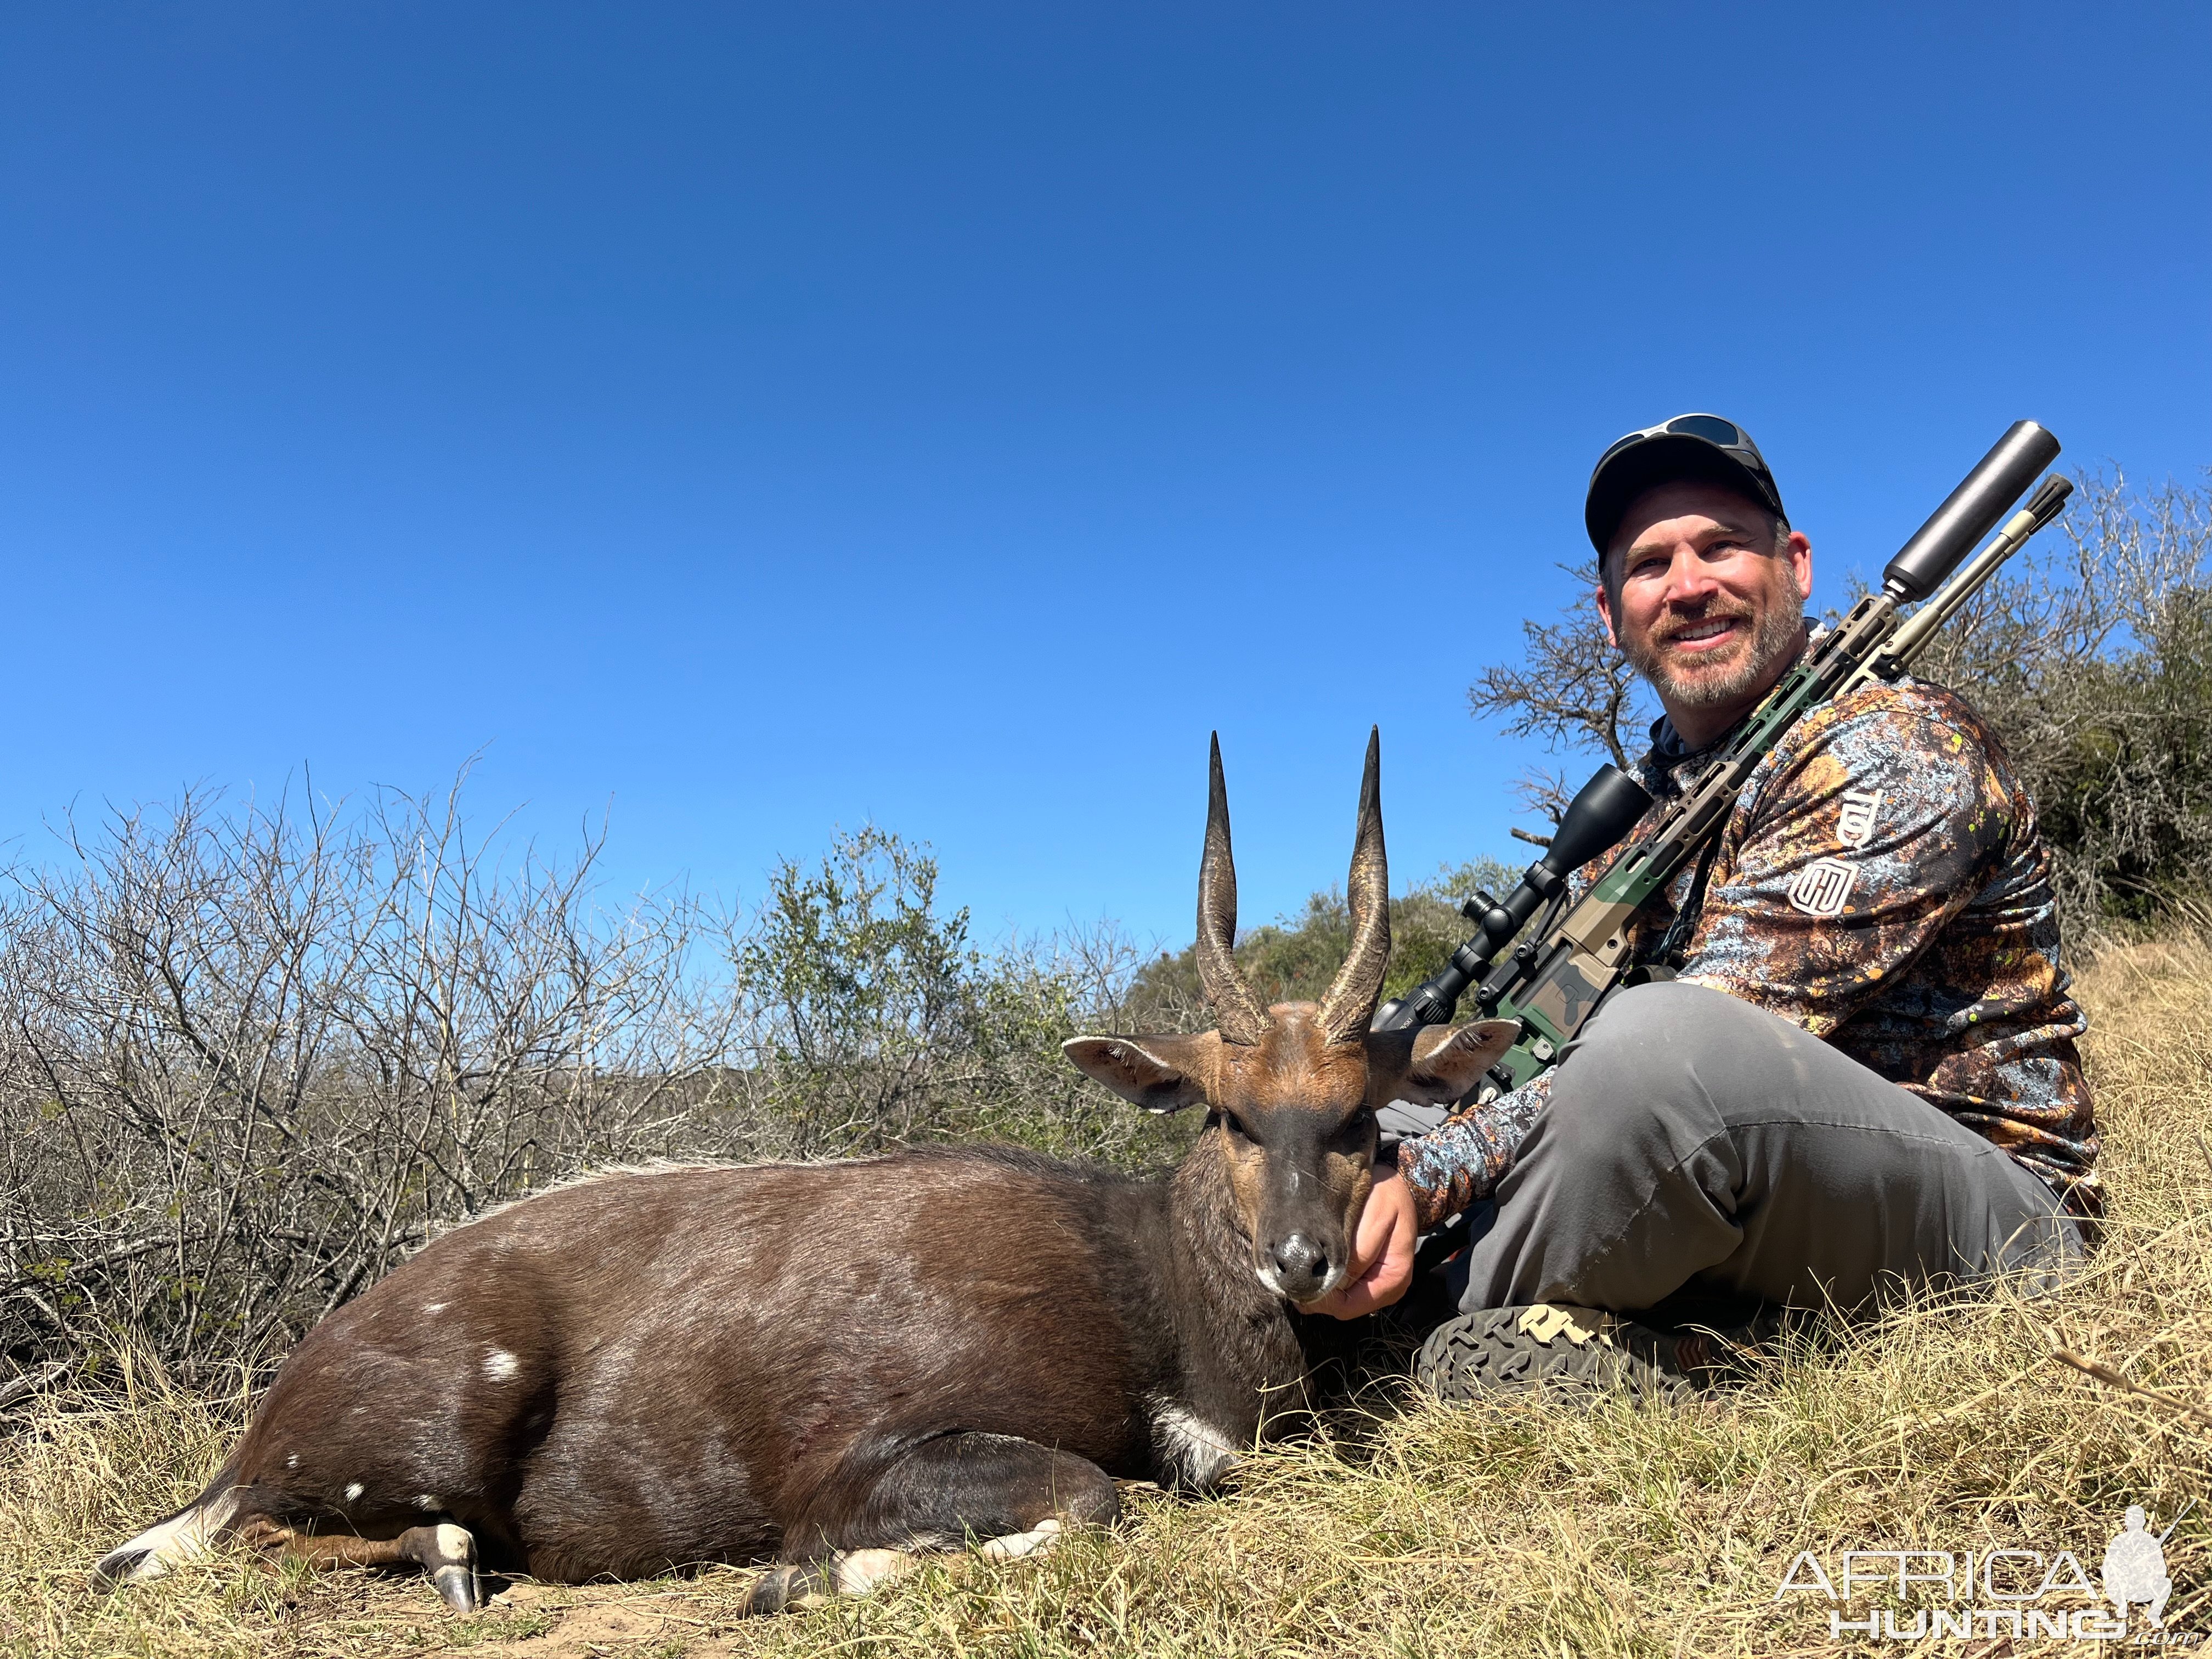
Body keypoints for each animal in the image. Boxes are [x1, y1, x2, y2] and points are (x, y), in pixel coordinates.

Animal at [95, 734, 1513, 1619]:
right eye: (1229, 1114)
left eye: (1361, 1119)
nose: (1303, 1262)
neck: (1141, 1281)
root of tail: (279, 1402)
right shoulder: (862, 1463)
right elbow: (1098, 1498)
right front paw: (802, 1582)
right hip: (414, 1441)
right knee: (204, 1549)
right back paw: (443, 1565)